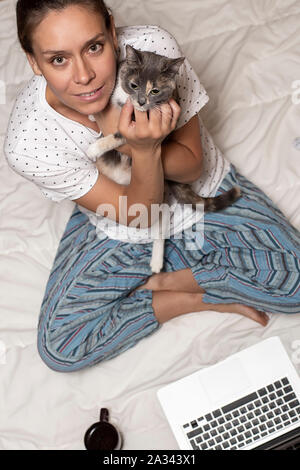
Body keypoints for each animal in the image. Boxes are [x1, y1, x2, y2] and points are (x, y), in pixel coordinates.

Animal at [86, 45, 241, 272]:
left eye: (155, 91)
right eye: (134, 85)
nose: (141, 101)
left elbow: (120, 135)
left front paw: (95, 148)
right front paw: (93, 113)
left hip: (160, 192)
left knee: (161, 225)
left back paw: (157, 263)